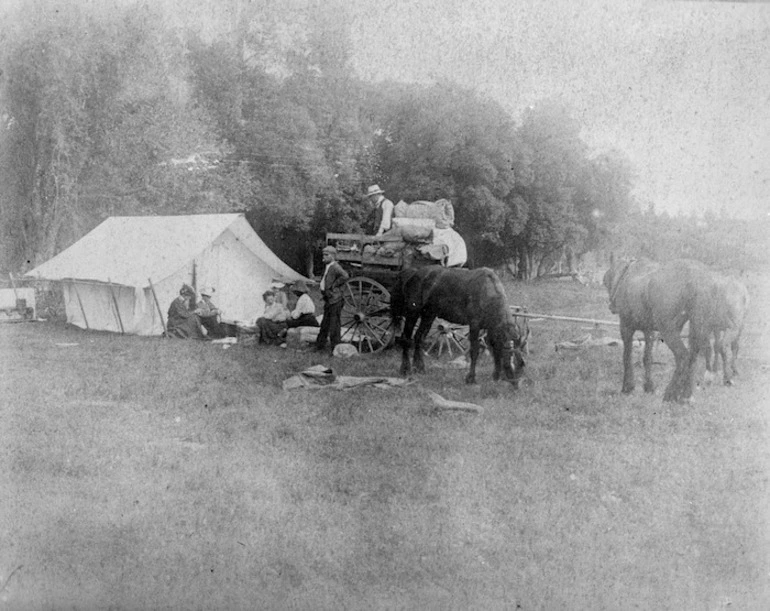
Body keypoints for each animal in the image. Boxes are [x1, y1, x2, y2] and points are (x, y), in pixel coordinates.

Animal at [388, 266, 524, 384]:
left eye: (521, 364)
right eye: (510, 359)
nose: (515, 384)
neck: (487, 293)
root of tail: (412, 272)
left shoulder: (491, 329)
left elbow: (494, 349)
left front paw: (495, 376)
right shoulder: (474, 325)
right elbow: (474, 351)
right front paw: (471, 378)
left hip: (428, 315)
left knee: (418, 338)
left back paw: (420, 367)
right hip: (413, 312)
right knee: (406, 339)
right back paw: (405, 369)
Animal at [600, 256, 712, 404]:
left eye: (605, 280)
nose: (611, 306)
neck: (627, 276)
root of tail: (695, 278)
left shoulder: (626, 327)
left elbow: (626, 357)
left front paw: (627, 387)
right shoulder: (649, 331)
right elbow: (647, 358)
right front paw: (649, 387)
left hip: (668, 330)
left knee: (683, 356)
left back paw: (670, 393)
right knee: (692, 358)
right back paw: (685, 394)